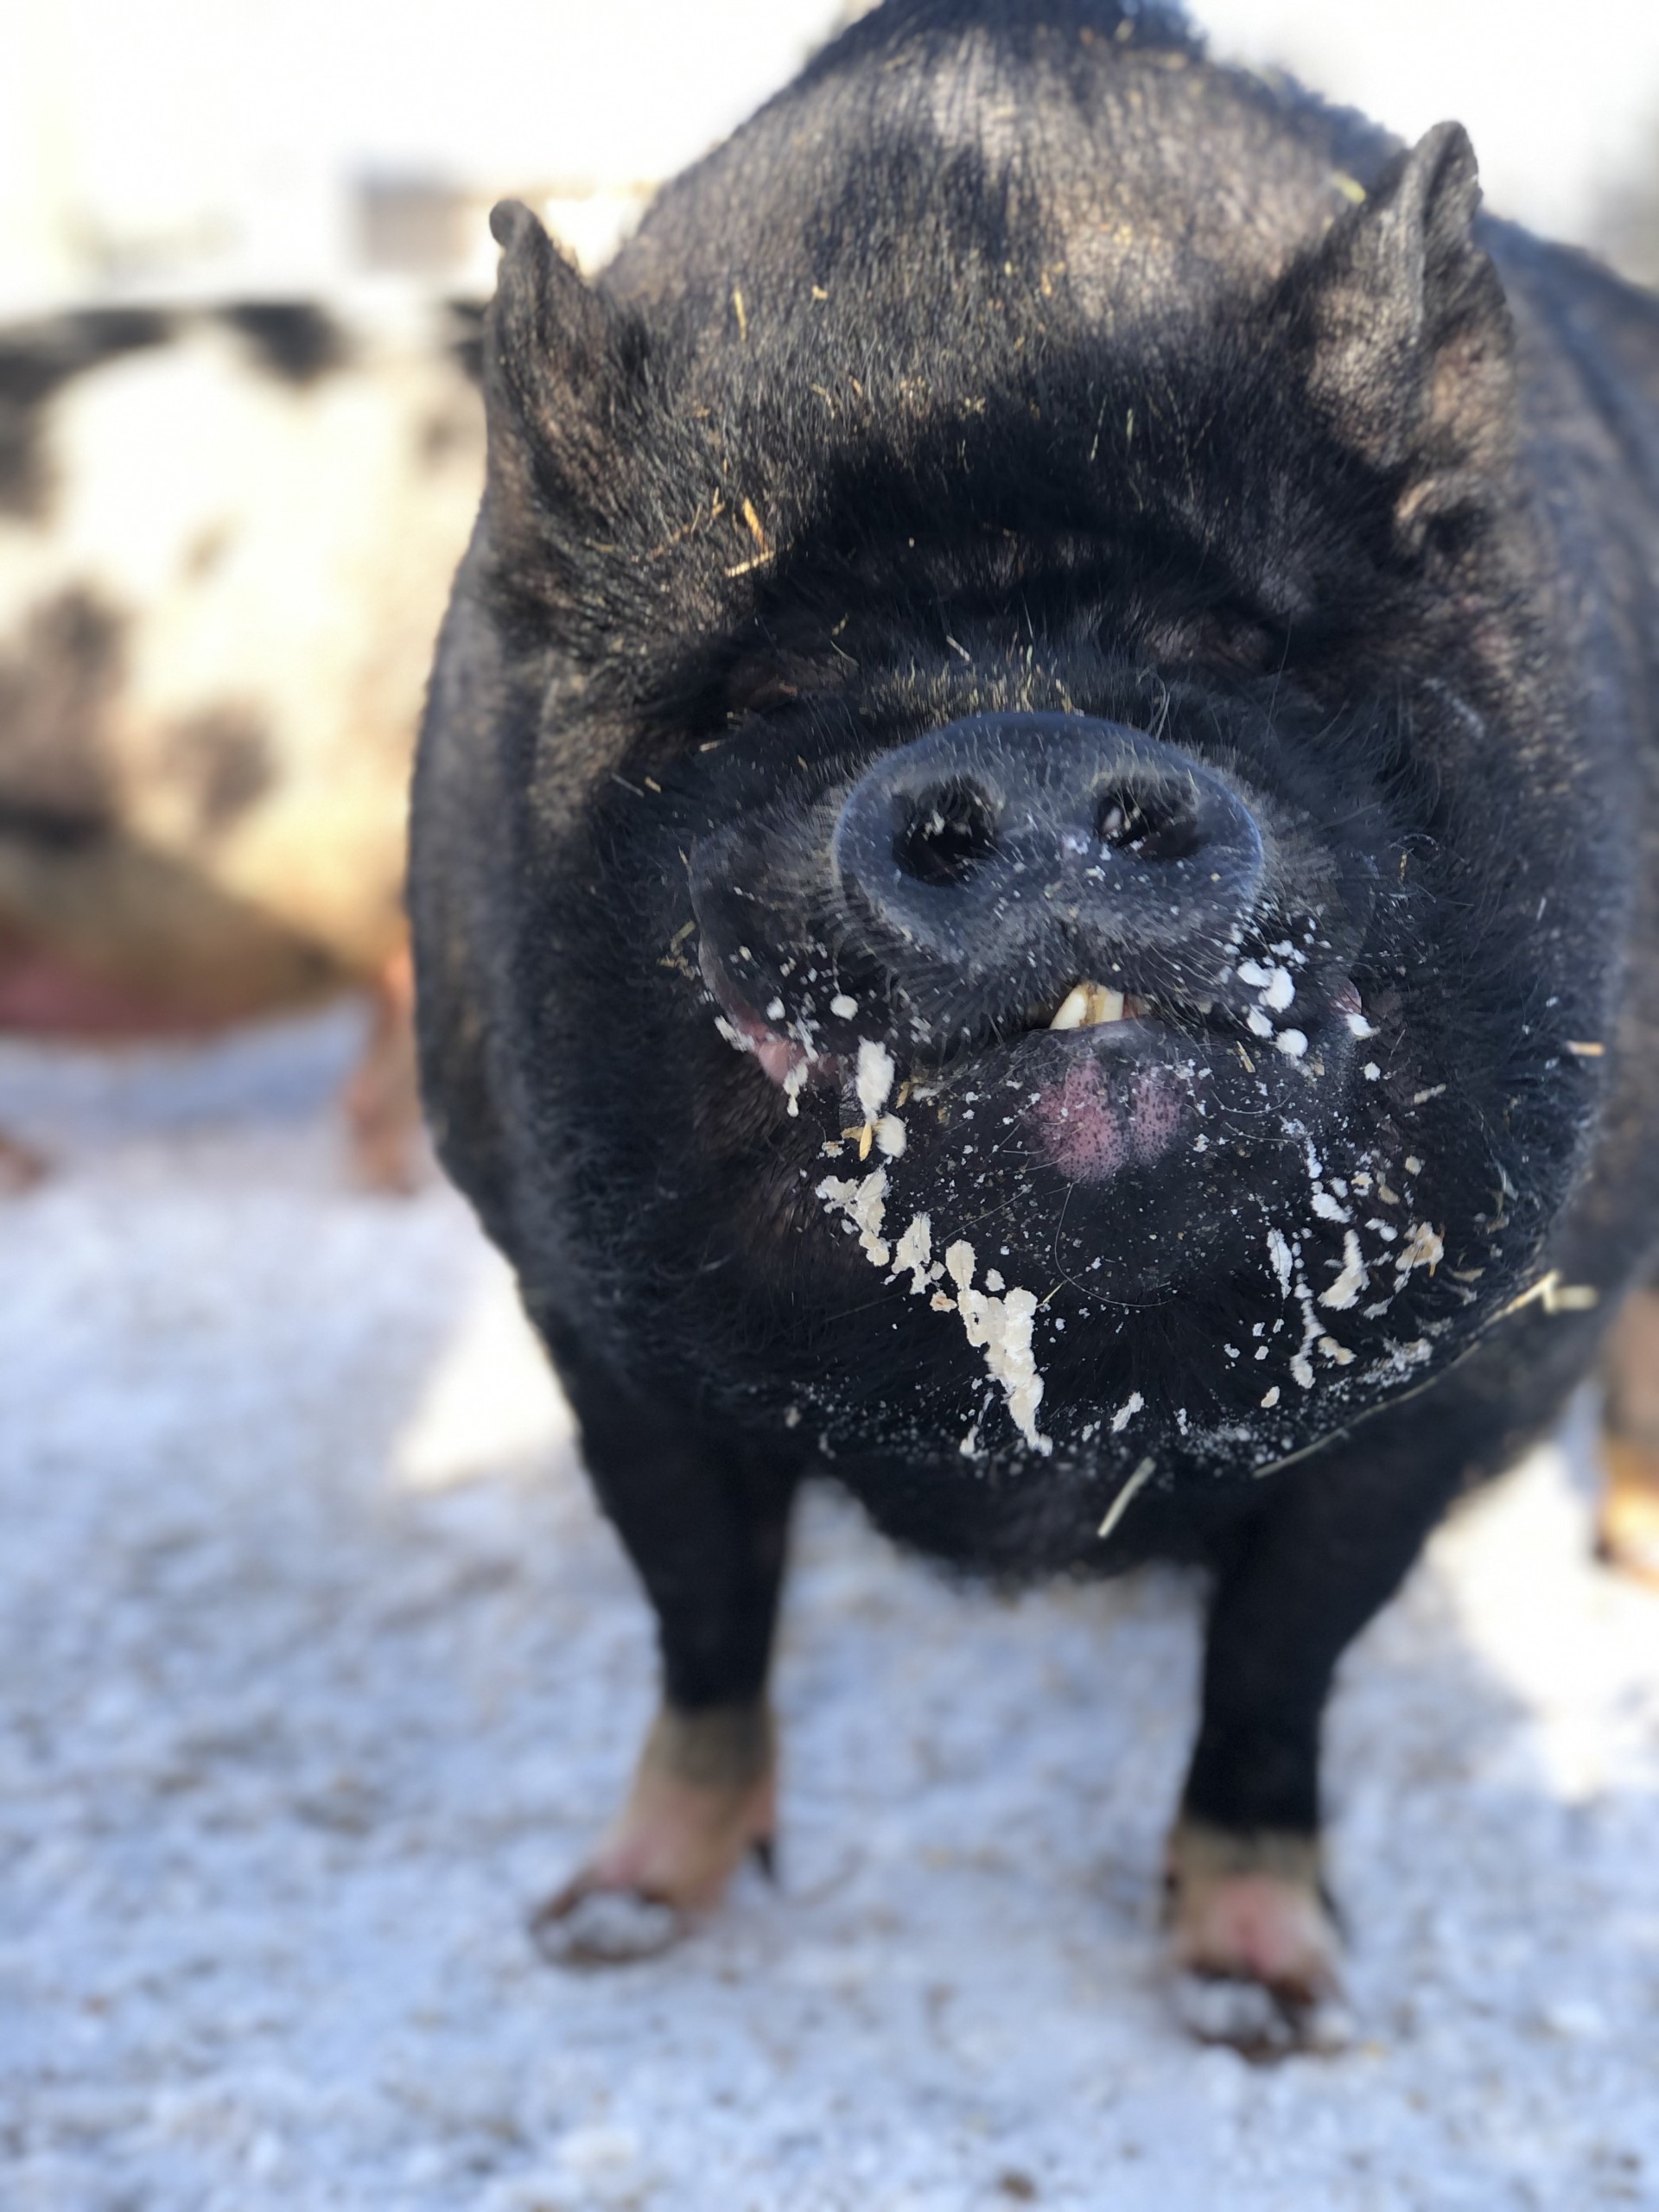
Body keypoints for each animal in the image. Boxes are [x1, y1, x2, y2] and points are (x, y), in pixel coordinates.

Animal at [410, 0, 1659, 2048]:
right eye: (771, 678)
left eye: (1238, 645)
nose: (1035, 746)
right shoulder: (579, 1314)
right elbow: (701, 1617)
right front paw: (602, 1927)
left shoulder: (1459, 1378)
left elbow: (1278, 1664)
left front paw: (1264, 2016)